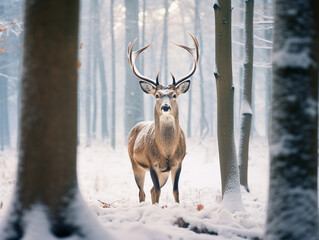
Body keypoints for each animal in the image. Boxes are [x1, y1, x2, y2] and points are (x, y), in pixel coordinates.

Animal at [127, 32, 200, 204]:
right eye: (157, 95)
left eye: (174, 95)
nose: (165, 107)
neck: (167, 152)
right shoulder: (152, 163)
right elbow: (158, 191)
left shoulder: (178, 162)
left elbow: (175, 191)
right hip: (135, 163)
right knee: (142, 192)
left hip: (163, 172)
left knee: (151, 190)